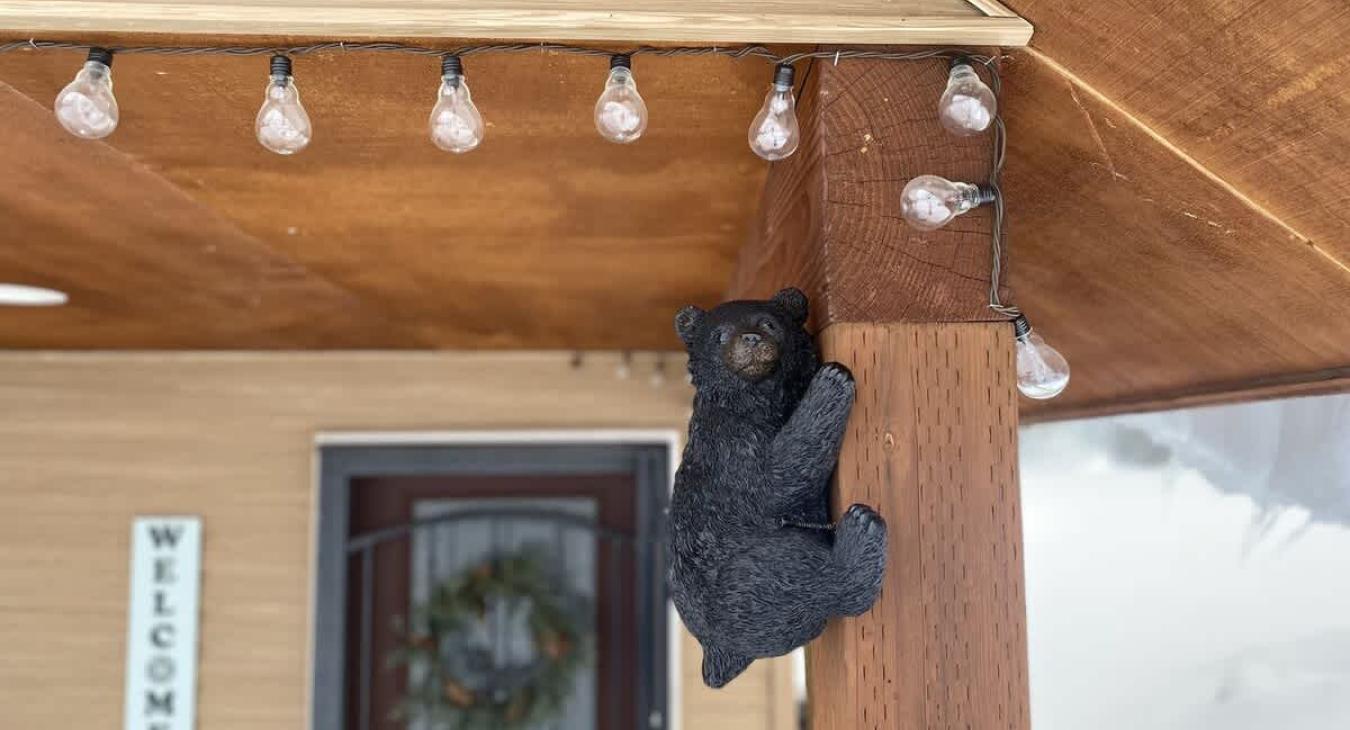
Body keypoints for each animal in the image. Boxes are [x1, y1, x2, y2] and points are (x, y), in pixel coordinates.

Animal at [667, 287, 889, 689]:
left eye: (768, 323)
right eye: (719, 334)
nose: (750, 339)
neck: (759, 400)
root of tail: (715, 651)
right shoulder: (729, 445)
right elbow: (775, 480)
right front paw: (832, 378)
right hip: (740, 581)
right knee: (796, 573)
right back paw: (861, 530)